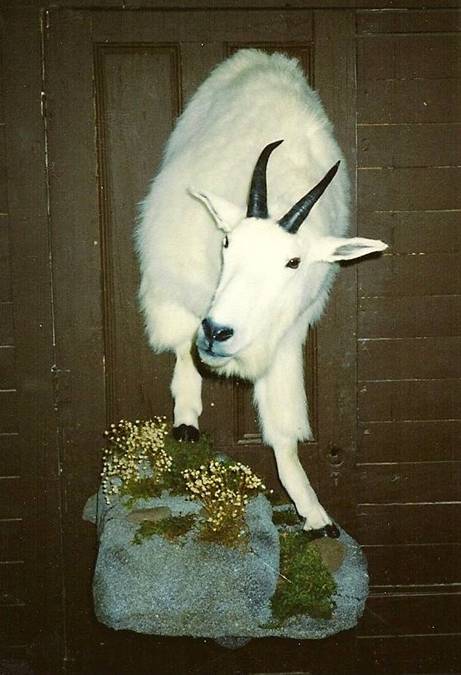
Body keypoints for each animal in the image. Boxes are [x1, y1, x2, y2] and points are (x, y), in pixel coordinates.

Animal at [136, 49, 387, 537]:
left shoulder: (286, 337)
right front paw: (186, 418)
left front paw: (314, 513)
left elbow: (284, 429)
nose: (218, 332)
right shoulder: (181, 285)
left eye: (293, 263)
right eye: (227, 242)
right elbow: (182, 348)